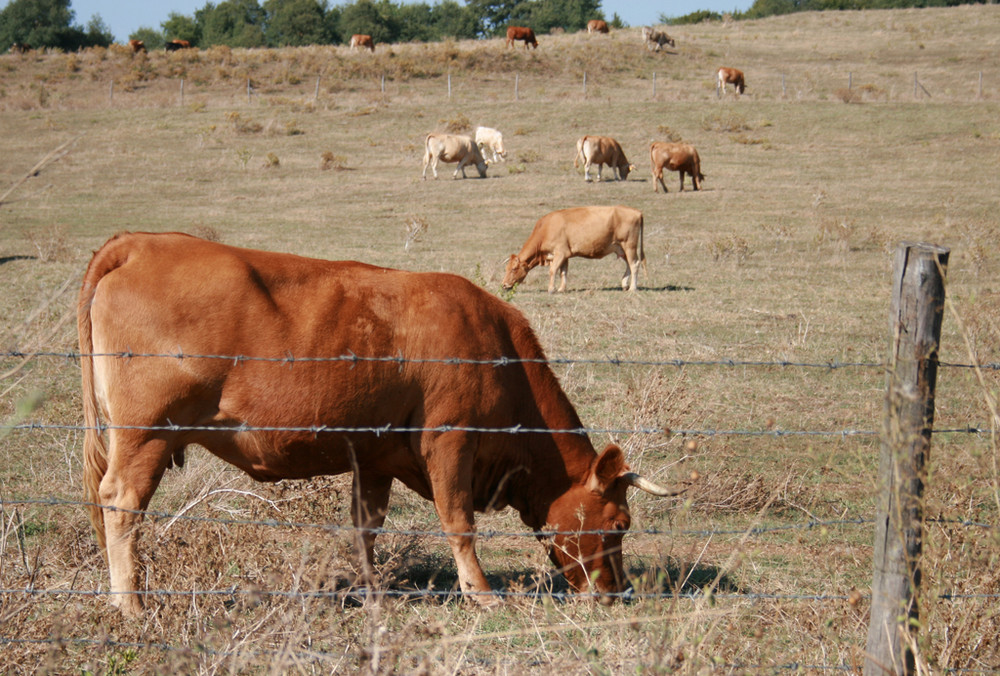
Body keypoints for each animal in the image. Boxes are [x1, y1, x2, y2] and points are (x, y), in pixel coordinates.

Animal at [78, 231, 680, 612]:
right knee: (122, 503)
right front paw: (482, 594)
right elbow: (459, 522)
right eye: (620, 523)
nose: (617, 593)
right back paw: (131, 605)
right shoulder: (451, 442)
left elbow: (366, 527)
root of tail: (141, 241)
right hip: (148, 434)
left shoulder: (373, 458)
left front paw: (371, 591)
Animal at [500, 205, 648, 292]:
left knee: (634, 264)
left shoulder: (560, 252)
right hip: (621, 248)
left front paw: (551, 289)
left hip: (629, 245)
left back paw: (632, 288)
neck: (546, 228)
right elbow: (563, 272)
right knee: (629, 265)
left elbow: (553, 271)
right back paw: (624, 284)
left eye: (514, 269)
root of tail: (636, 211)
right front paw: (561, 288)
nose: (504, 285)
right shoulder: (565, 255)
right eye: (506, 268)